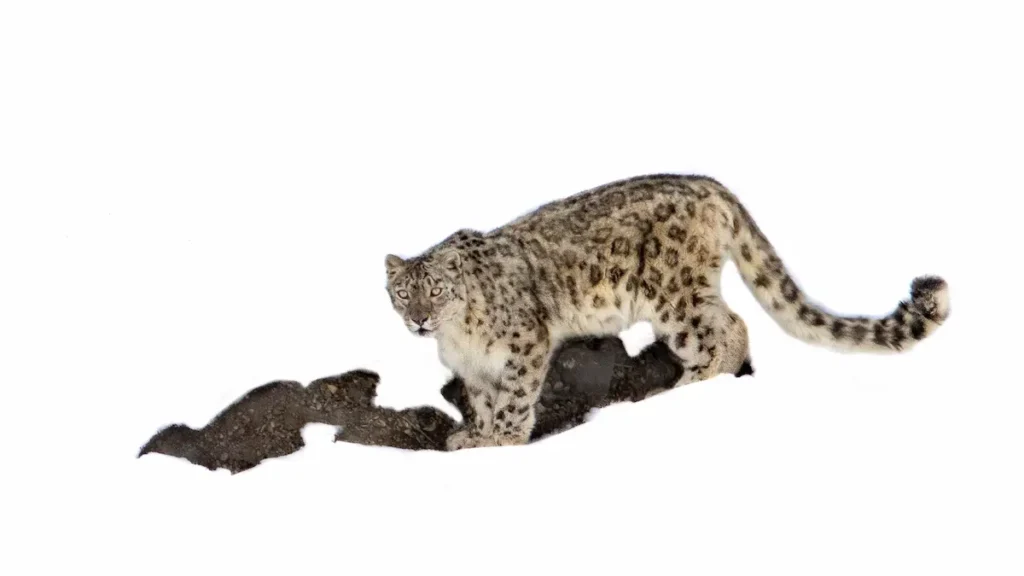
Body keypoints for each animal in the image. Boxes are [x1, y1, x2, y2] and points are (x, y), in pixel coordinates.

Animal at [382, 174, 950, 450]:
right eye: (403, 293)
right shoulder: (474, 369)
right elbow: (482, 402)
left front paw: (501, 440)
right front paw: (475, 436)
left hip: (673, 295)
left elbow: (514, 399)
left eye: (437, 289)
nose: (419, 319)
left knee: (724, 329)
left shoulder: (524, 345)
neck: (457, 340)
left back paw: (685, 386)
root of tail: (712, 186)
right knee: (732, 324)